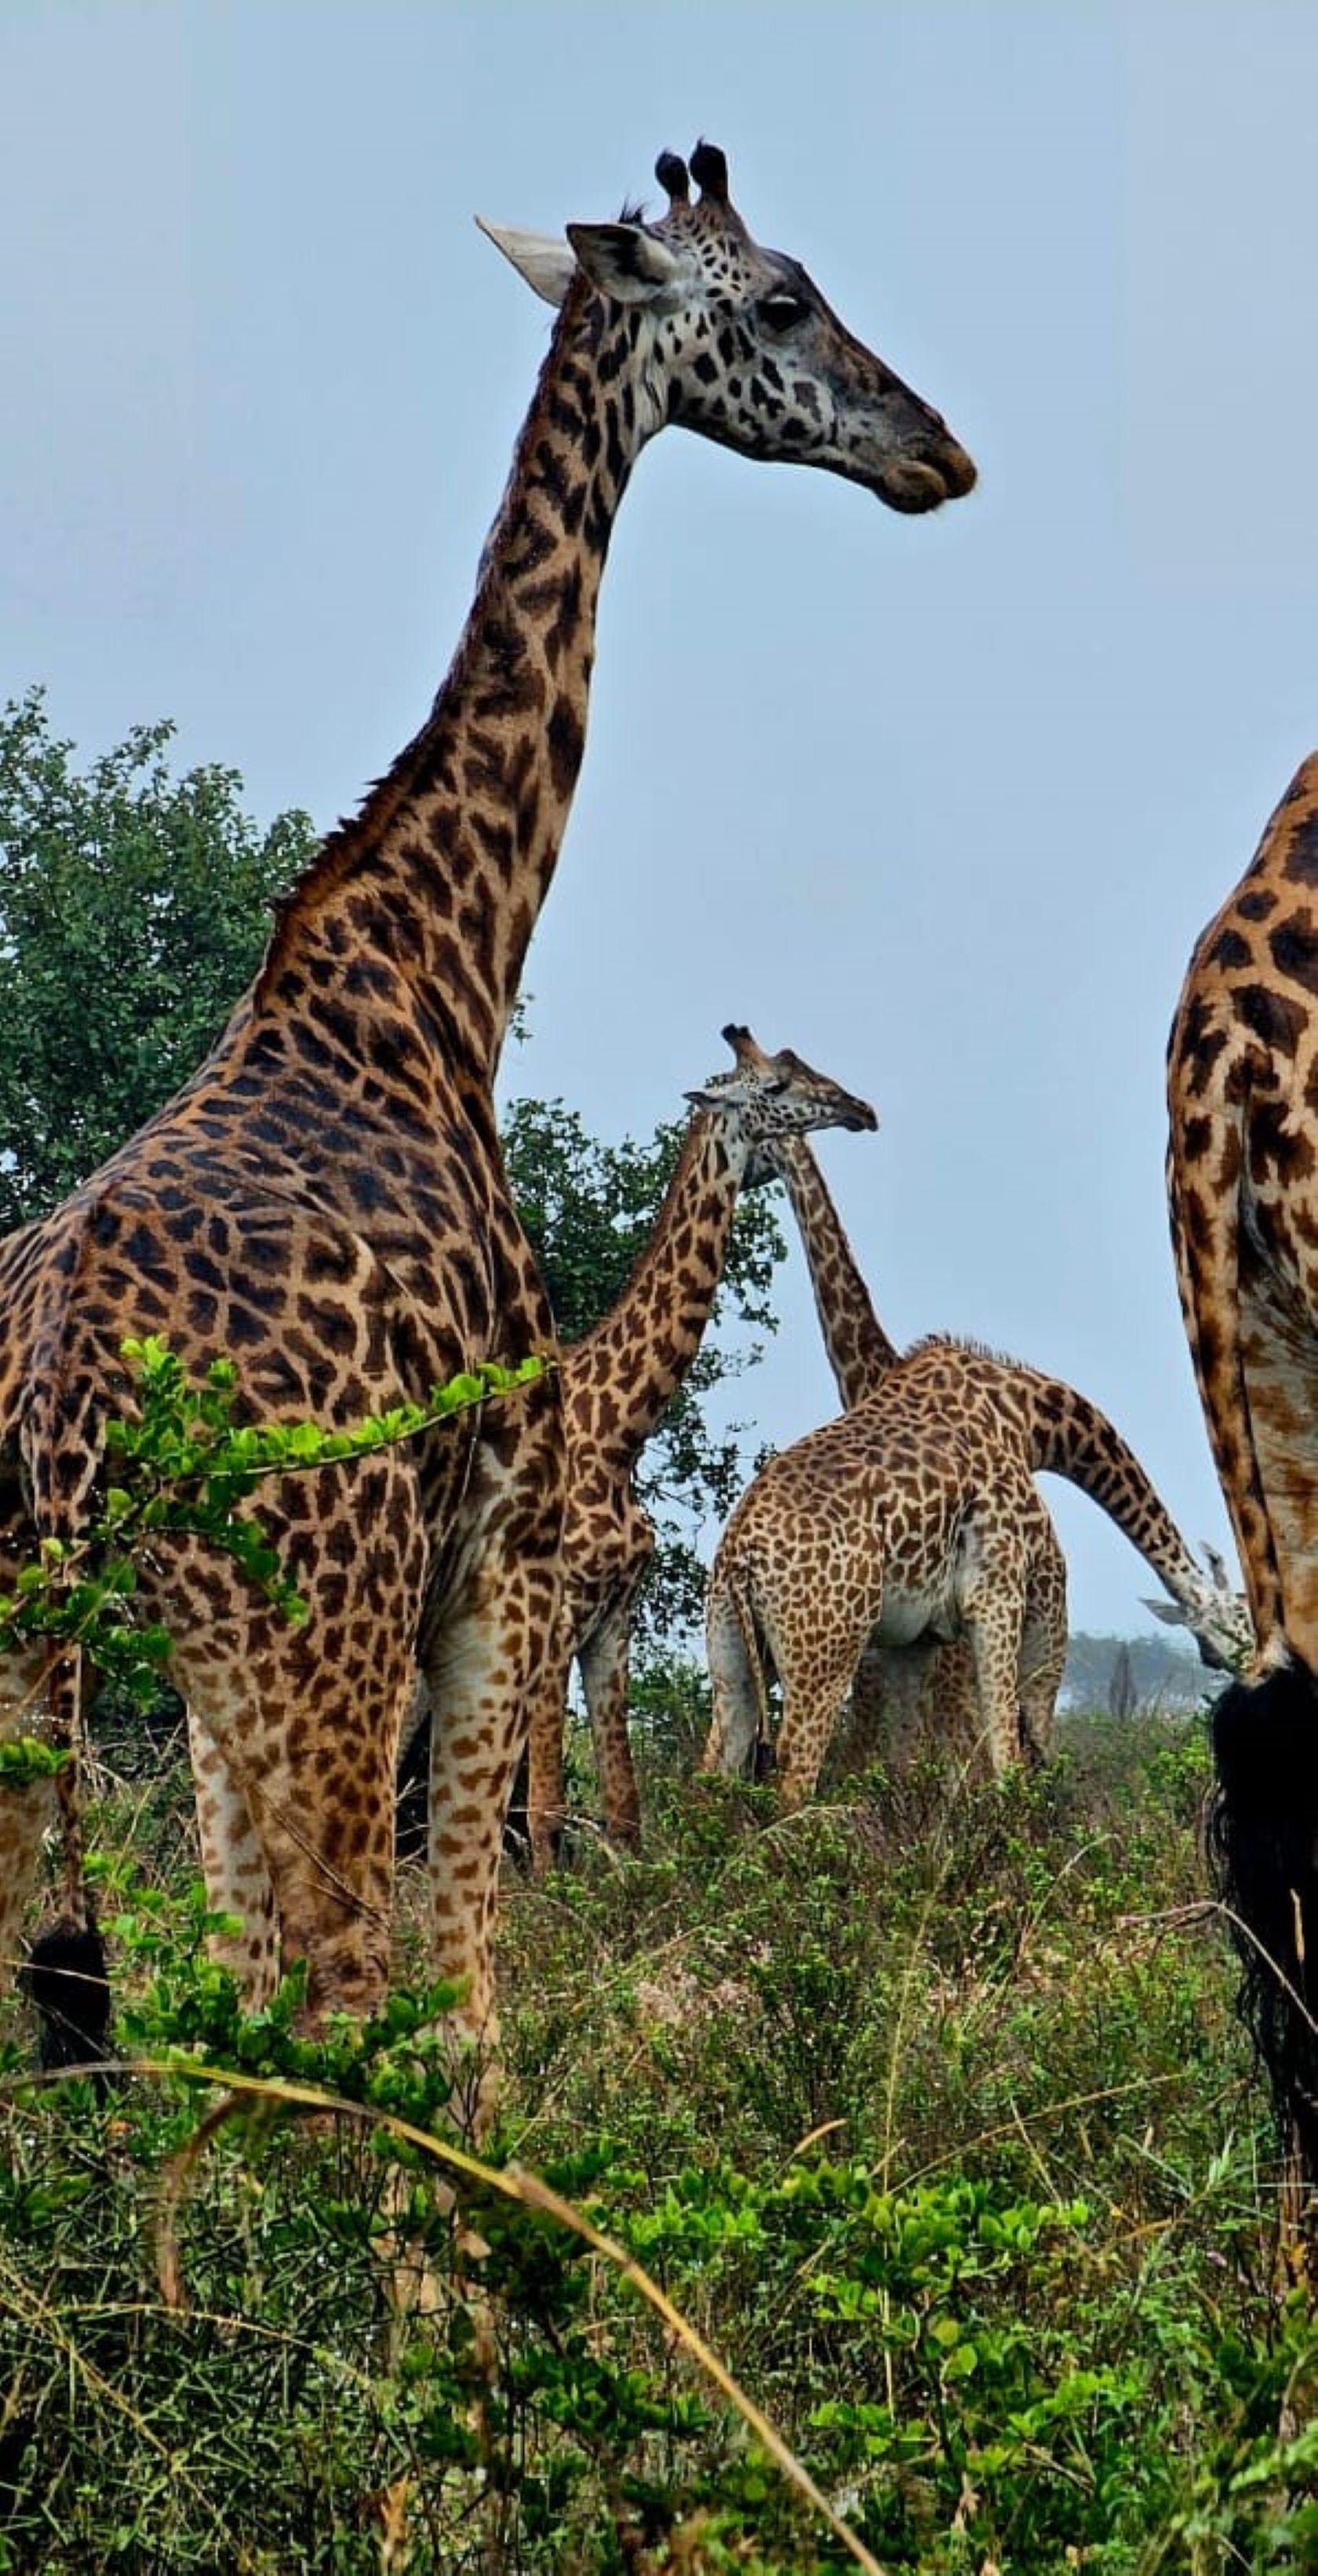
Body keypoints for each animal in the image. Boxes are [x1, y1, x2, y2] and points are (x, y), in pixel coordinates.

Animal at [518, 1025, 876, 1872]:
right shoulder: (553, 1617)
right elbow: (546, 1809)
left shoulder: (613, 1618)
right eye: (775, 1087)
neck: (618, 1435)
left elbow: (623, 1809)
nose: (859, 1109)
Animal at [702, 1333, 1249, 1806]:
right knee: (794, 1771)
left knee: (718, 1760)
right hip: (825, 1651)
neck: (1030, 1419)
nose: (1254, 1681)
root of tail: (743, 1556)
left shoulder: (913, 1638)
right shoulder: (1014, 1588)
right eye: (1233, 1635)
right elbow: (1018, 1738)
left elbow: (905, 1757)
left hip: (729, 1645)